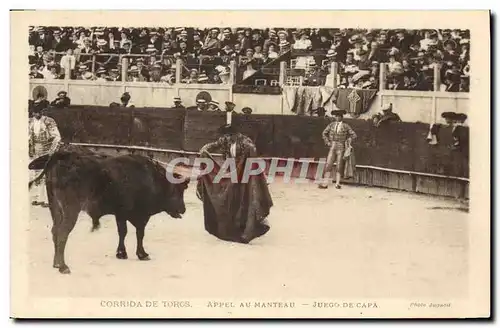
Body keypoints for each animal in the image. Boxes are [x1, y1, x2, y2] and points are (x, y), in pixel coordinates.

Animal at [28, 151, 189, 274]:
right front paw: (141, 254)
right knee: (62, 233)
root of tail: (61, 156)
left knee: (55, 231)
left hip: (55, 208)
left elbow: (123, 232)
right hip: (70, 210)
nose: (183, 209)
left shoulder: (121, 214)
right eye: (178, 191)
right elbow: (138, 234)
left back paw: (56, 264)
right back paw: (63, 266)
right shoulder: (139, 215)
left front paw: (121, 253)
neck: (151, 178)